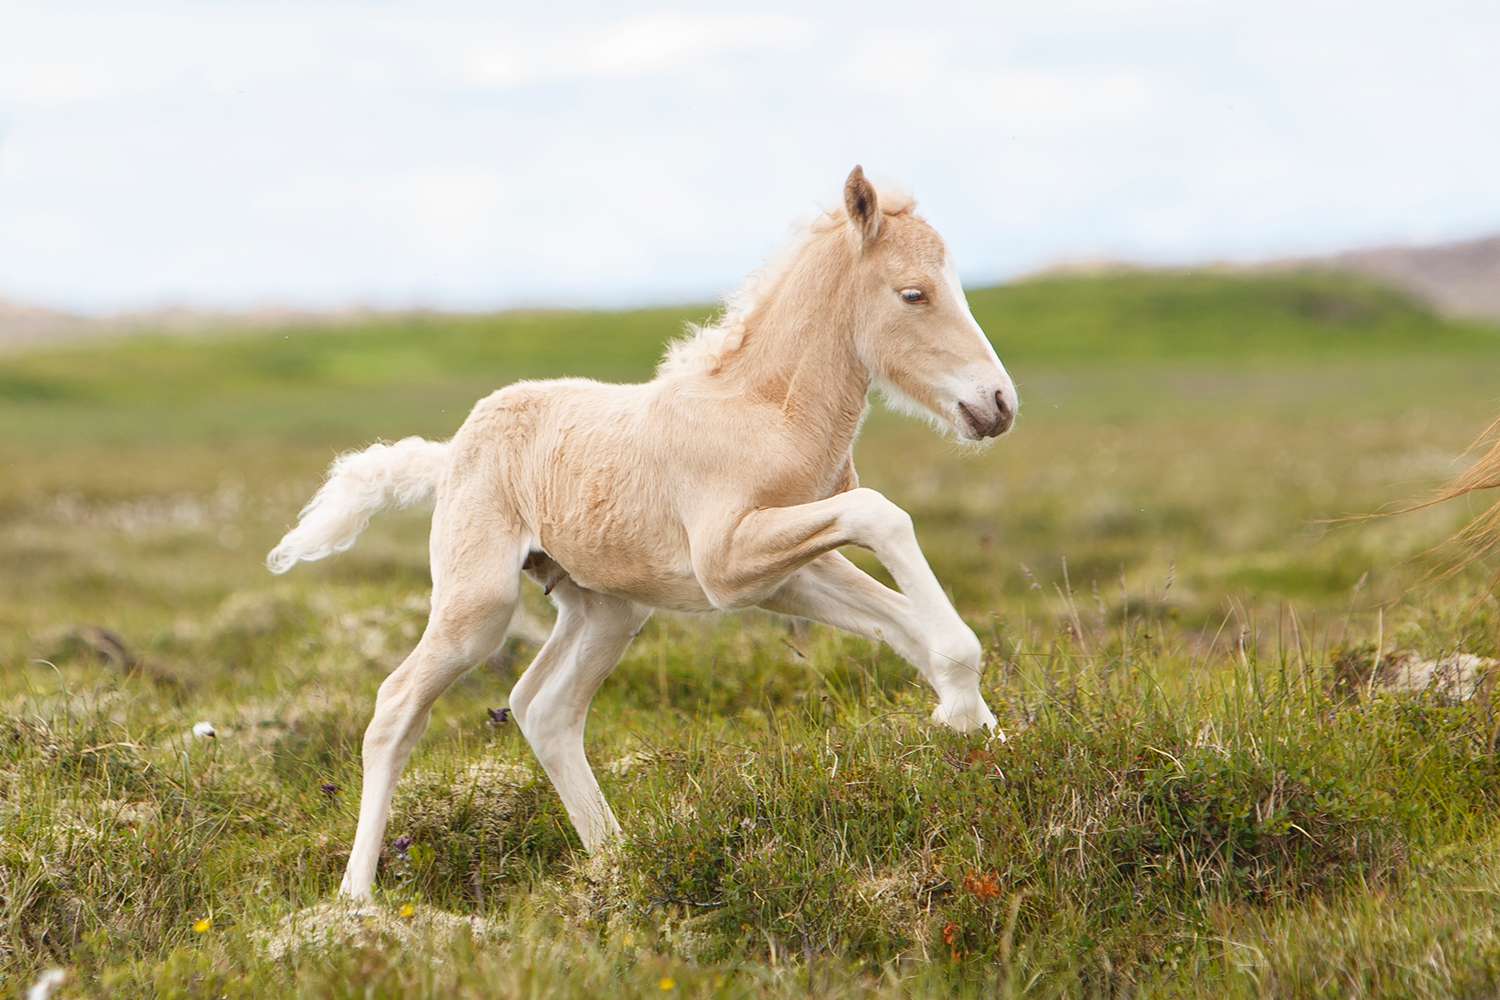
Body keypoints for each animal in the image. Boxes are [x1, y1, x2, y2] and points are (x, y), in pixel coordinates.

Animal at [267, 164, 1020, 899]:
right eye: (913, 293)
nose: (998, 404)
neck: (767, 414)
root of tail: (449, 452)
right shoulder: (729, 562)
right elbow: (883, 516)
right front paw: (965, 711)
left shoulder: (789, 573)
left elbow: (901, 620)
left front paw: (982, 736)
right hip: (477, 606)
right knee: (398, 706)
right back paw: (357, 899)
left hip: (608, 609)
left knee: (544, 708)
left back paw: (618, 860)